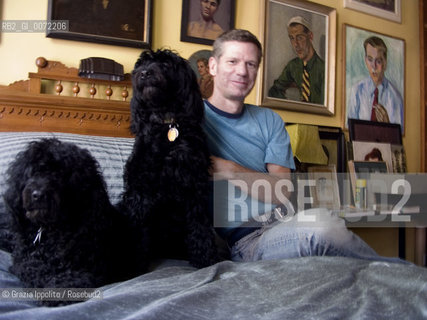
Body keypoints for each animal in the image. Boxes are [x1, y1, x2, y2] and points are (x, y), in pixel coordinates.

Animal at [121, 48, 219, 268]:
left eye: (166, 64)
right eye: (140, 65)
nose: (144, 73)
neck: (166, 124)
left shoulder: (194, 185)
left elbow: (199, 224)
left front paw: (205, 258)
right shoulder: (141, 187)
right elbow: (137, 225)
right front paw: (135, 265)